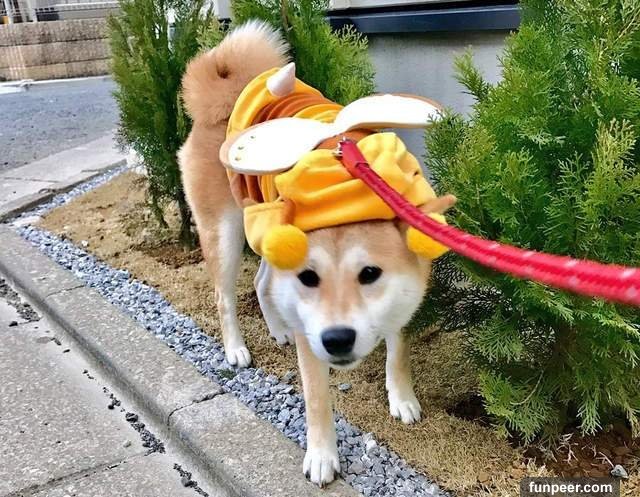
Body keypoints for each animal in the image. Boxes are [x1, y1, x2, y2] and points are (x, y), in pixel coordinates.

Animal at [179, 21, 455, 486]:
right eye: (310, 278)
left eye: (370, 274)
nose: (337, 338)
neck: (346, 182)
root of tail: (225, 98)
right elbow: (316, 399)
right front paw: (323, 456)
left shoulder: (405, 296)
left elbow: (398, 350)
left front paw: (401, 397)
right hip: (225, 233)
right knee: (225, 297)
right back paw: (236, 348)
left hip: (266, 225)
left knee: (262, 283)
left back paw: (279, 329)